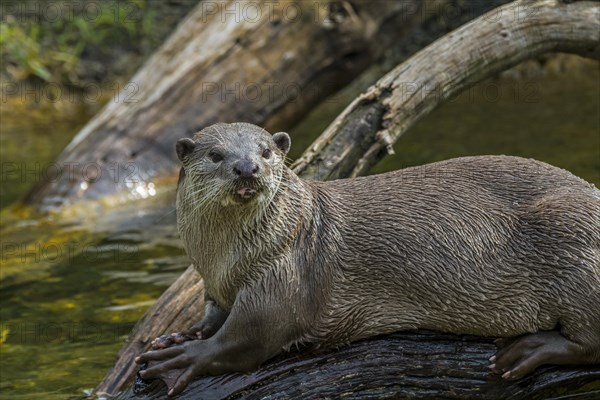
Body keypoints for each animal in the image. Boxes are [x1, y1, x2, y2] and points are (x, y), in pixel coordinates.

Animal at [136, 122, 600, 396]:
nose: (247, 167)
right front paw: (178, 337)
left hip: (574, 245)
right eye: (216, 155)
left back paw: (530, 349)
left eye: (266, 151)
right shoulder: (215, 286)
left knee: (590, 341)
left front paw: (183, 358)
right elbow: (213, 318)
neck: (224, 261)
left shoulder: (284, 273)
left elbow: (248, 337)